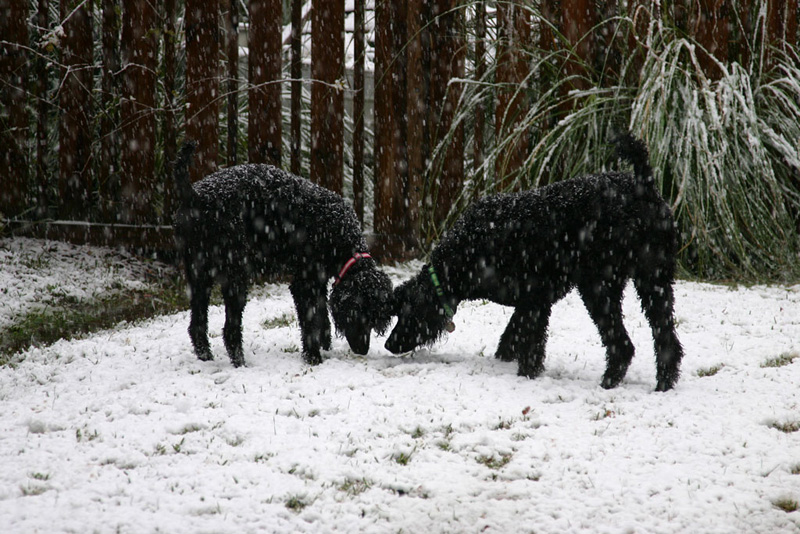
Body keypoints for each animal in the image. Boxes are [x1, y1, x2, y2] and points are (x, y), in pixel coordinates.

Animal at [173, 142, 392, 368]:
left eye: (375, 320)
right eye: (360, 316)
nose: (363, 350)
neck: (339, 235)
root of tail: (195, 197)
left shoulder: (318, 281)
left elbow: (323, 318)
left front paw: (325, 347)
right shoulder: (305, 283)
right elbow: (311, 323)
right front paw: (314, 357)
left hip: (199, 275)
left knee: (197, 326)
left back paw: (205, 358)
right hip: (234, 275)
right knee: (230, 330)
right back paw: (241, 363)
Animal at [384, 135, 684, 394]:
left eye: (406, 313)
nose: (389, 343)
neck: (466, 252)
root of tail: (643, 187)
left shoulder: (535, 300)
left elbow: (530, 343)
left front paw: (527, 375)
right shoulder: (532, 301)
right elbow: (512, 335)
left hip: (599, 287)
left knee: (622, 345)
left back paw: (609, 382)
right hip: (653, 281)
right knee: (666, 340)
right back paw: (663, 384)